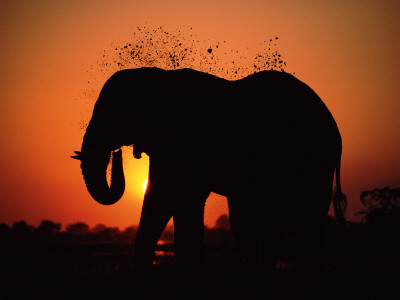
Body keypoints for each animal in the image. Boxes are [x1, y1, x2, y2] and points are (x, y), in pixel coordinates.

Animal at [72, 67, 346, 270]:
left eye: (114, 113)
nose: (117, 153)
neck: (159, 77)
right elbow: (159, 196)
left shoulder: (190, 139)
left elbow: (181, 197)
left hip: (314, 160)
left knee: (305, 219)